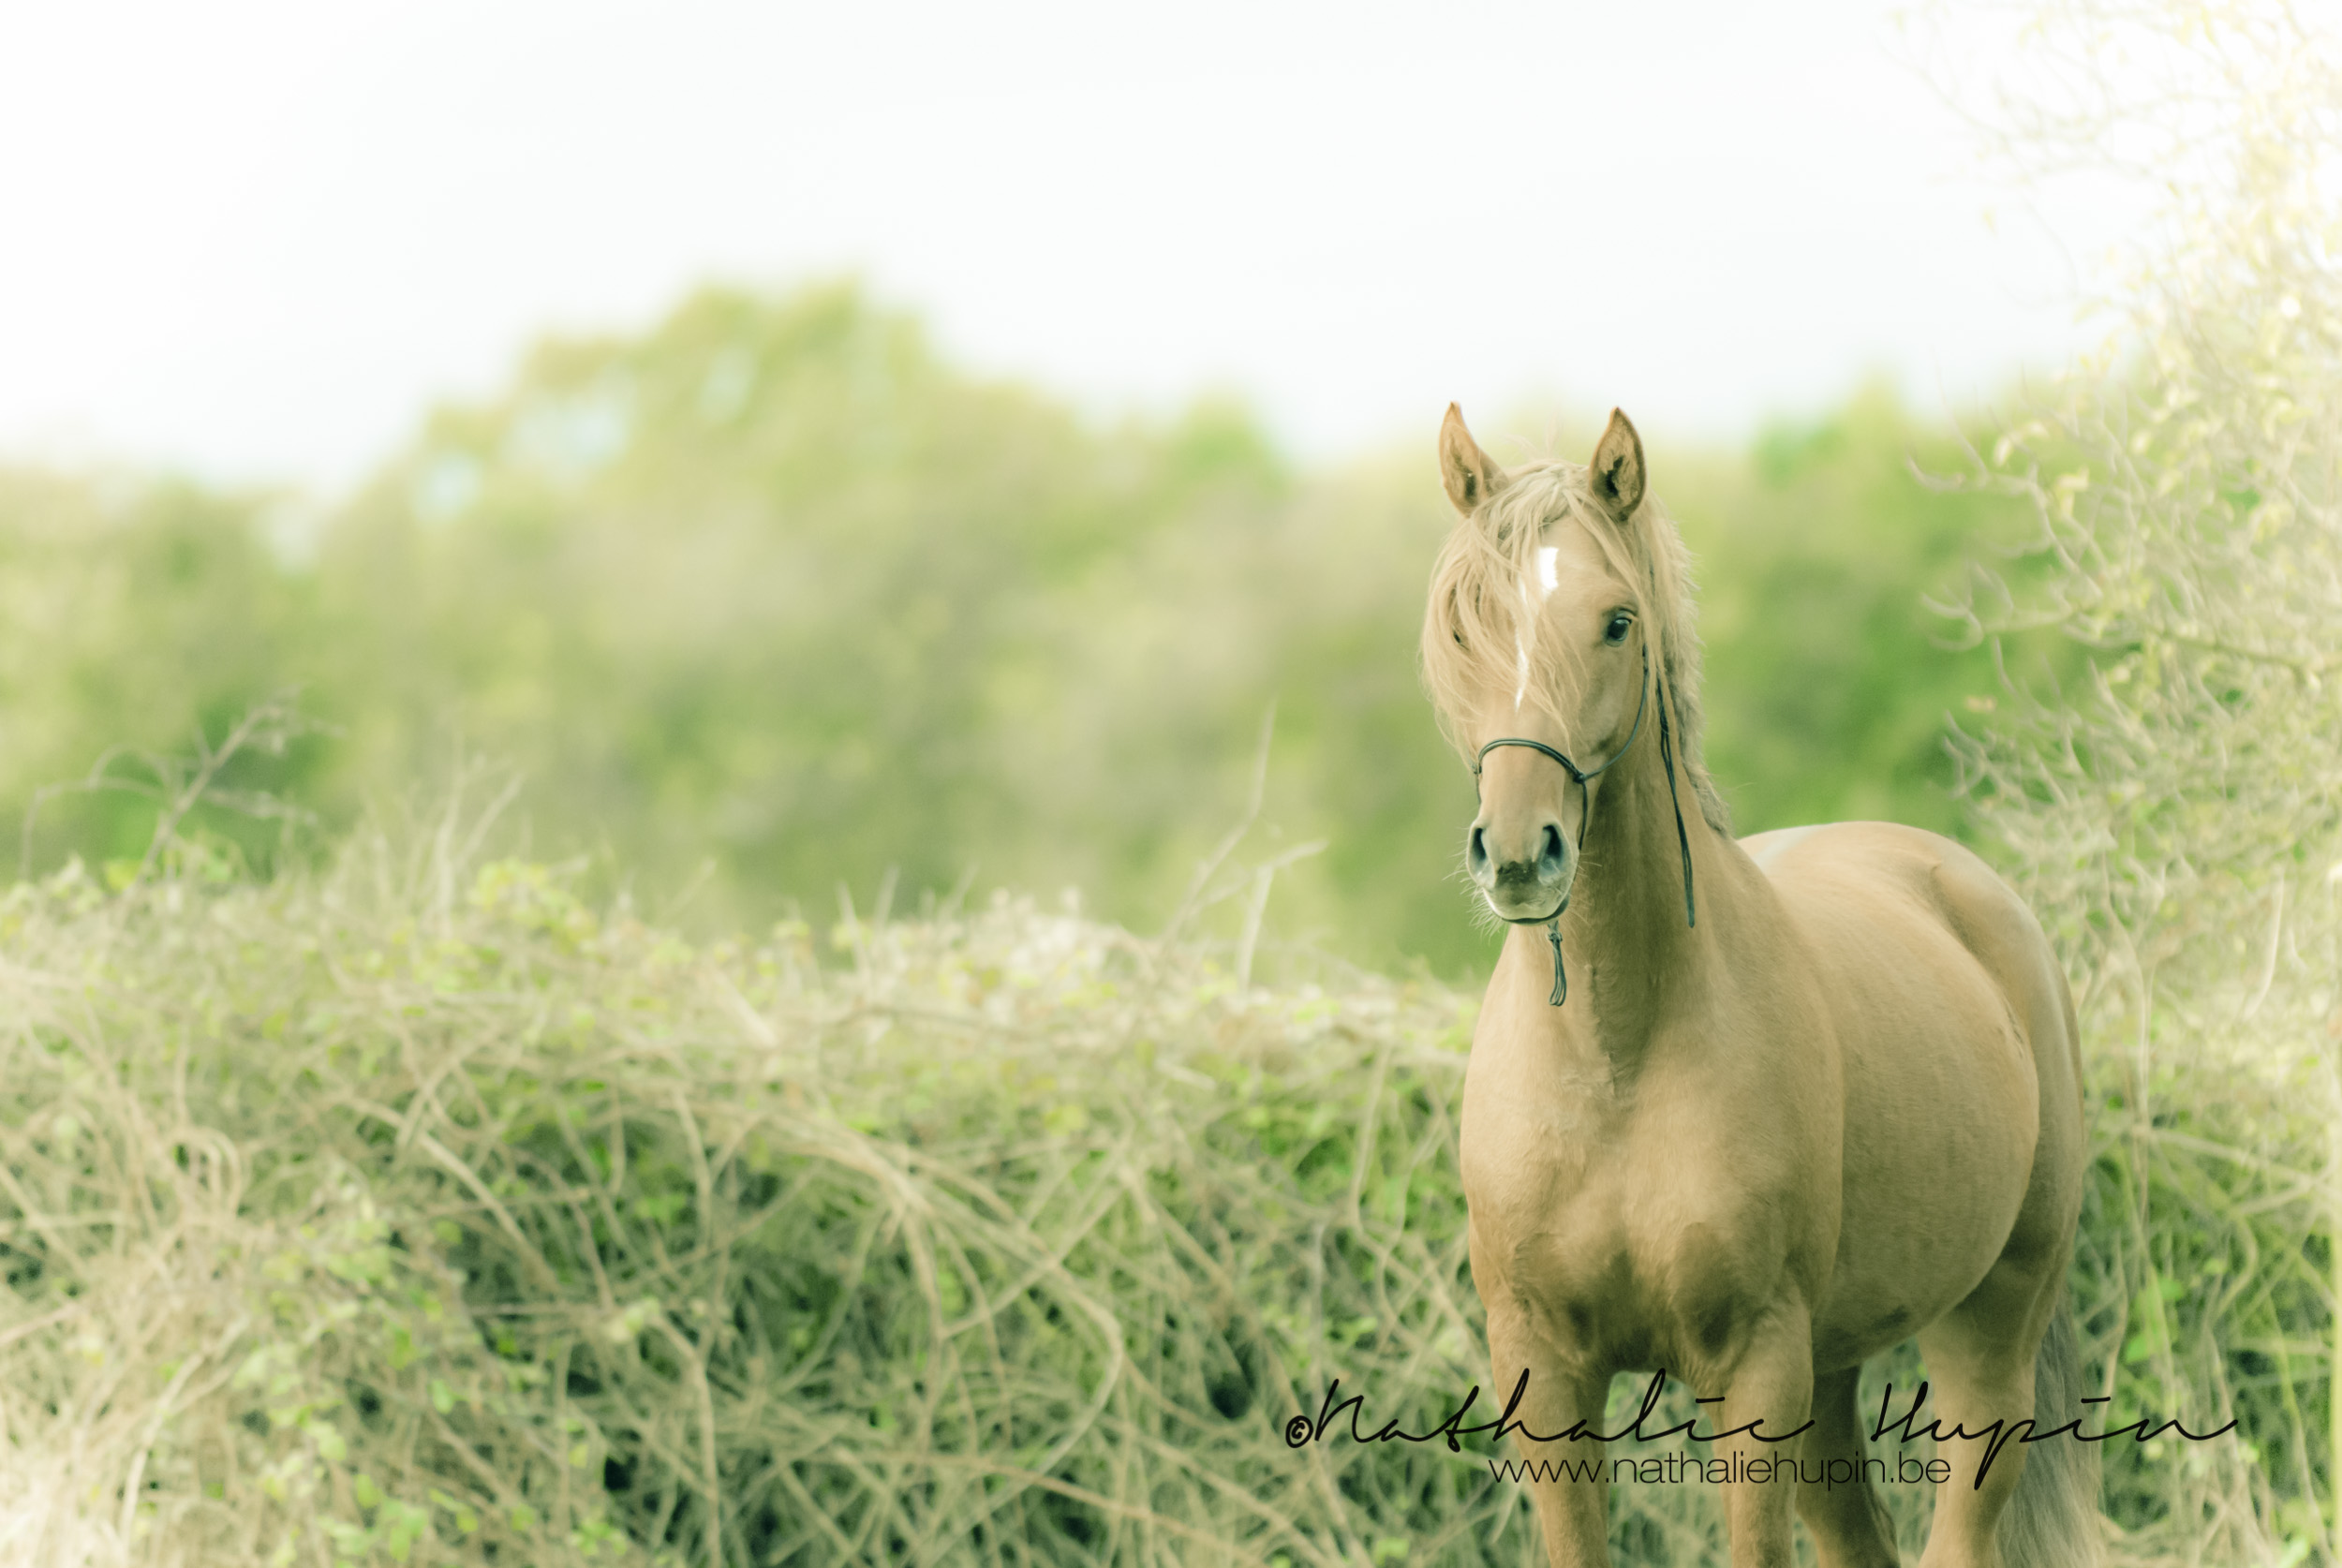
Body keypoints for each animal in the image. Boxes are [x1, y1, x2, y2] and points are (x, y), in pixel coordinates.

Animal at [1415, 409, 2098, 1568]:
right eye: (1463, 623)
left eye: (1614, 622)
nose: (1518, 854)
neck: (1618, 1058)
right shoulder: (1546, 1373)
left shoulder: (1756, 1368)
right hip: (1832, 1372)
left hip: (1983, 1341)